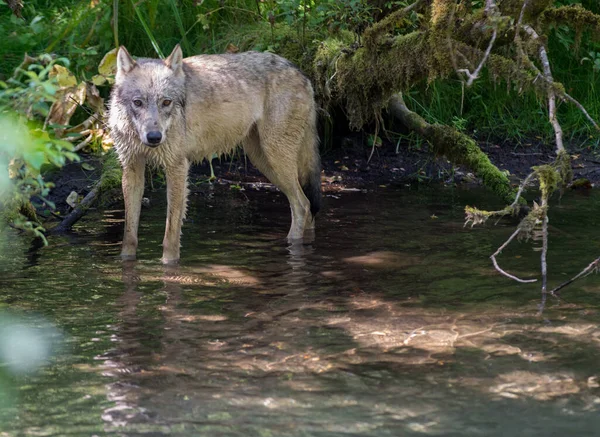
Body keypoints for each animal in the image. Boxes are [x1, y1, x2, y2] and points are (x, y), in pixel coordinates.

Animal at [109, 45, 322, 262]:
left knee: (302, 205)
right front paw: (125, 261)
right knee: (309, 209)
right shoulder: (132, 169)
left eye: (166, 102)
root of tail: (299, 71)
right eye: (137, 102)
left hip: (275, 158)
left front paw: (169, 264)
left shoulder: (177, 168)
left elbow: (171, 235)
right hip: (263, 161)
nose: (154, 137)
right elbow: (129, 234)